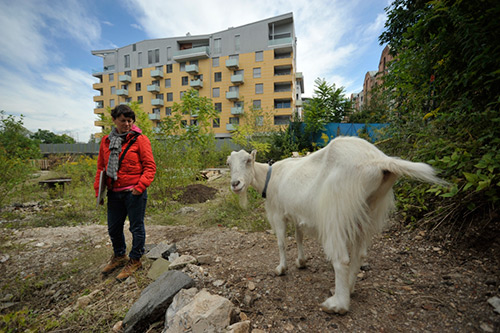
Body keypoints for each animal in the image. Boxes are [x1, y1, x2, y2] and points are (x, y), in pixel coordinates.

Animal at [229, 136, 444, 314]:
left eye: (248, 161)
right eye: (228, 164)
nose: (235, 183)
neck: (270, 176)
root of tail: (379, 161)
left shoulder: (277, 213)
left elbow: (281, 242)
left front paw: (281, 268)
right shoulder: (297, 213)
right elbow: (299, 237)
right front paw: (301, 262)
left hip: (335, 210)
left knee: (342, 259)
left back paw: (337, 304)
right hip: (366, 209)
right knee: (359, 254)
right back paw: (349, 289)